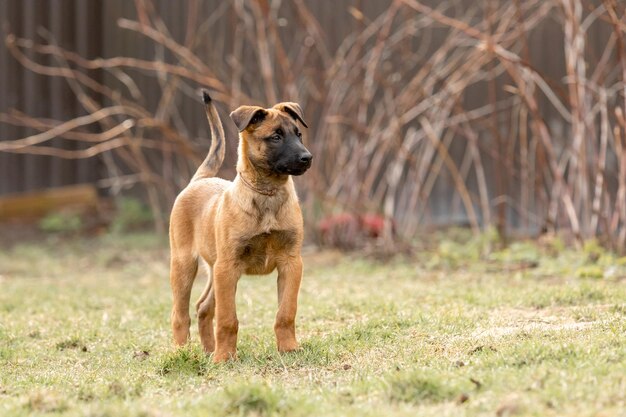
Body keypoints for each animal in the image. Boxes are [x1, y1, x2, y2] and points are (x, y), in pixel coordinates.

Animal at [168, 90, 310, 360]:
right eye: (276, 137)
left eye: (298, 134)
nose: (307, 158)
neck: (267, 194)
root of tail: (199, 180)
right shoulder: (229, 267)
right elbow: (227, 319)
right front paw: (225, 357)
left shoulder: (291, 263)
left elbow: (286, 312)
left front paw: (289, 349)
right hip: (185, 265)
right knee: (180, 314)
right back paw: (183, 352)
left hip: (215, 269)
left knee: (203, 307)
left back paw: (208, 350)